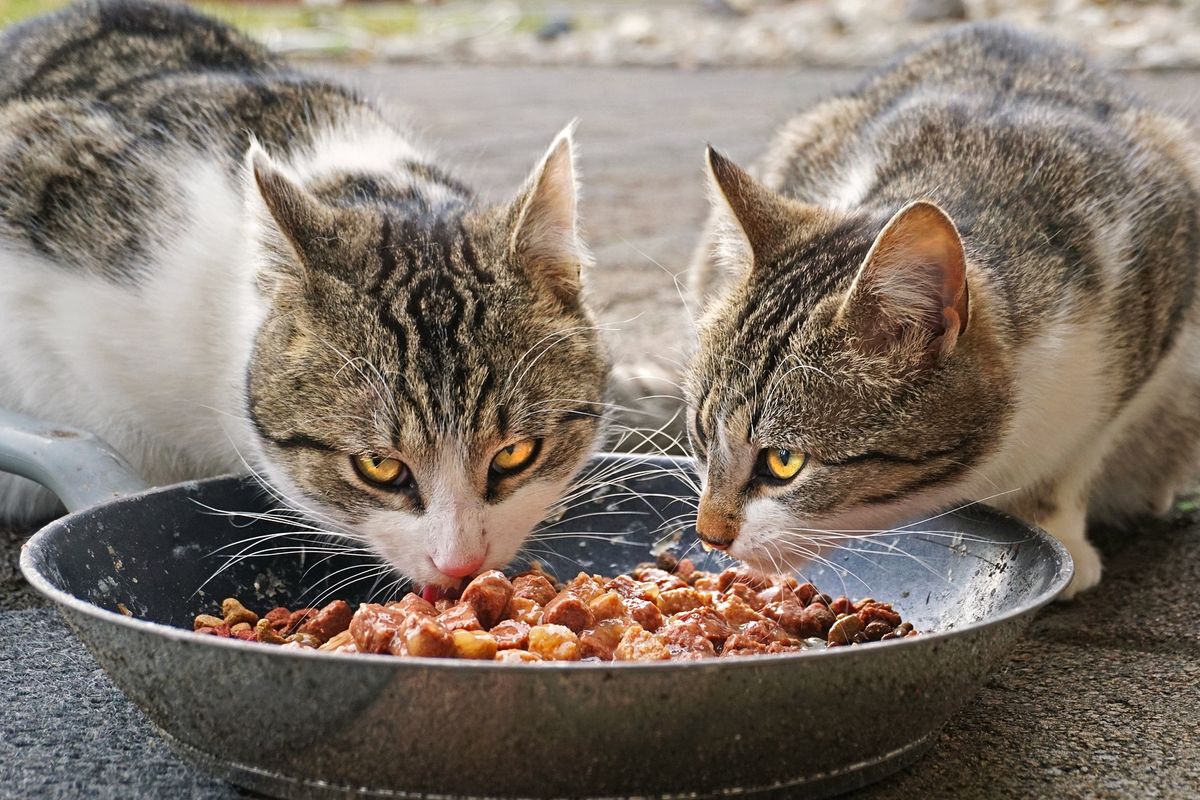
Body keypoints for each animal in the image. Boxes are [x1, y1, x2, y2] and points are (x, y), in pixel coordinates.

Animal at [686, 25, 1200, 597]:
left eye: (783, 462)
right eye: (702, 435)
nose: (709, 535)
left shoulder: (1157, 290)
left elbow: (1077, 456)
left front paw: (1057, 526)